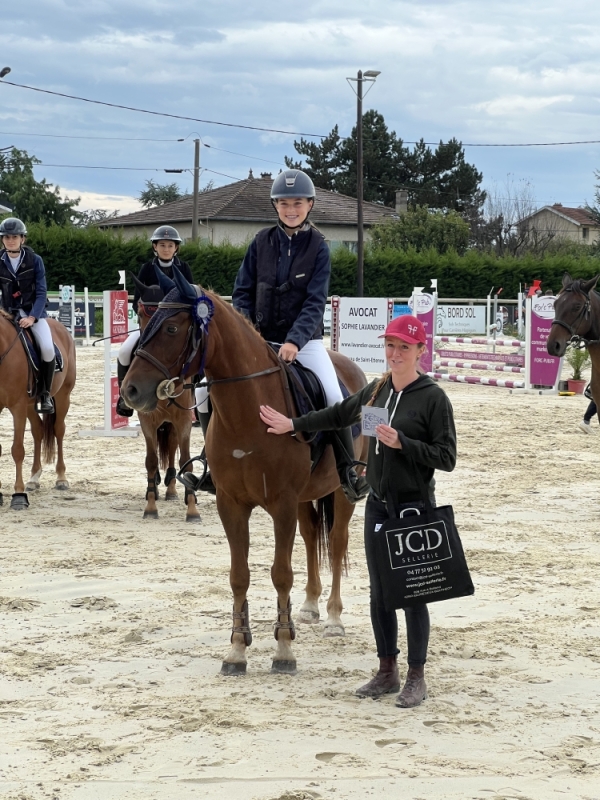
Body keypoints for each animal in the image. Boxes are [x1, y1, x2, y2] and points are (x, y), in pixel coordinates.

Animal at [0, 310, 77, 510]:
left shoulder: (18, 407)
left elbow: (17, 449)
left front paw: (18, 496)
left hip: (63, 396)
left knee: (59, 430)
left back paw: (61, 478)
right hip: (30, 406)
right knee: (38, 430)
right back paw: (34, 478)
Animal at [129, 276, 199, 524]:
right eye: (140, 313)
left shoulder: (184, 421)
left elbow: (184, 459)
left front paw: (192, 508)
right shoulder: (147, 421)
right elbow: (150, 461)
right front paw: (150, 505)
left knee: (171, 450)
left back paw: (172, 489)